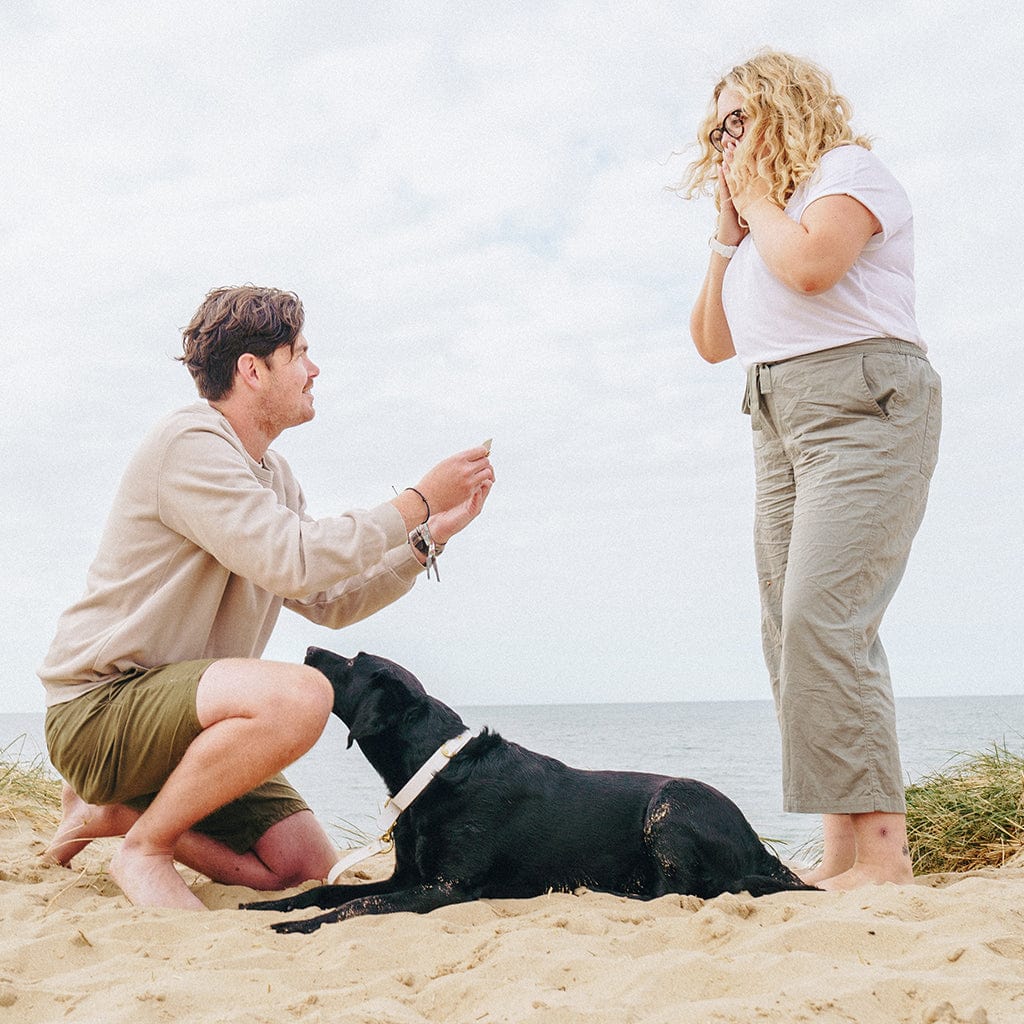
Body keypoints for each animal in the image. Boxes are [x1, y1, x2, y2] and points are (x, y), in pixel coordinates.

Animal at [245, 651, 815, 933]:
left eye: (350, 663)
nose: (311, 647)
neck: (436, 771)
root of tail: (759, 845)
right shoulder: (407, 876)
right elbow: (329, 891)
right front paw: (274, 908)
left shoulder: (446, 888)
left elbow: (355, 907)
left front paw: (302, 927)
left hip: (669, 805)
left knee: (686, 890)